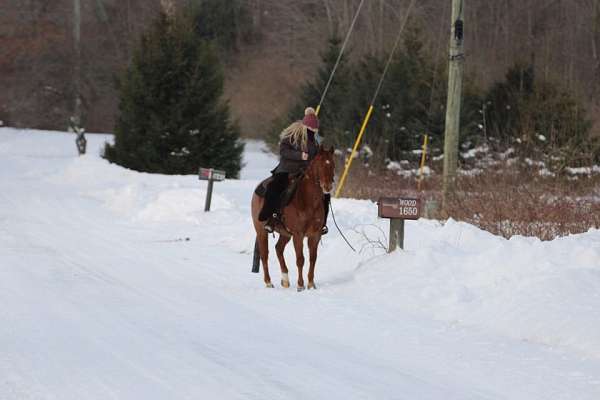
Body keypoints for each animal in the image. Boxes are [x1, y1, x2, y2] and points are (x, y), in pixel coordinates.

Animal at [251, 147, 336, 290]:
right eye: (319, 165)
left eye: (333, 165)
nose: (327, 187)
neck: (308, 201)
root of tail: (259, 187)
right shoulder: (298, 235)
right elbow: (300, 259)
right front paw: (300, 285)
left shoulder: (315, 235)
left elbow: (313, 258)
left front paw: (311, 284)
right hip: (261, 230)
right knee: (264, 254)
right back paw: (268, 282)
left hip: (285, 234)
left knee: (278, 249)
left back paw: (285, 279)